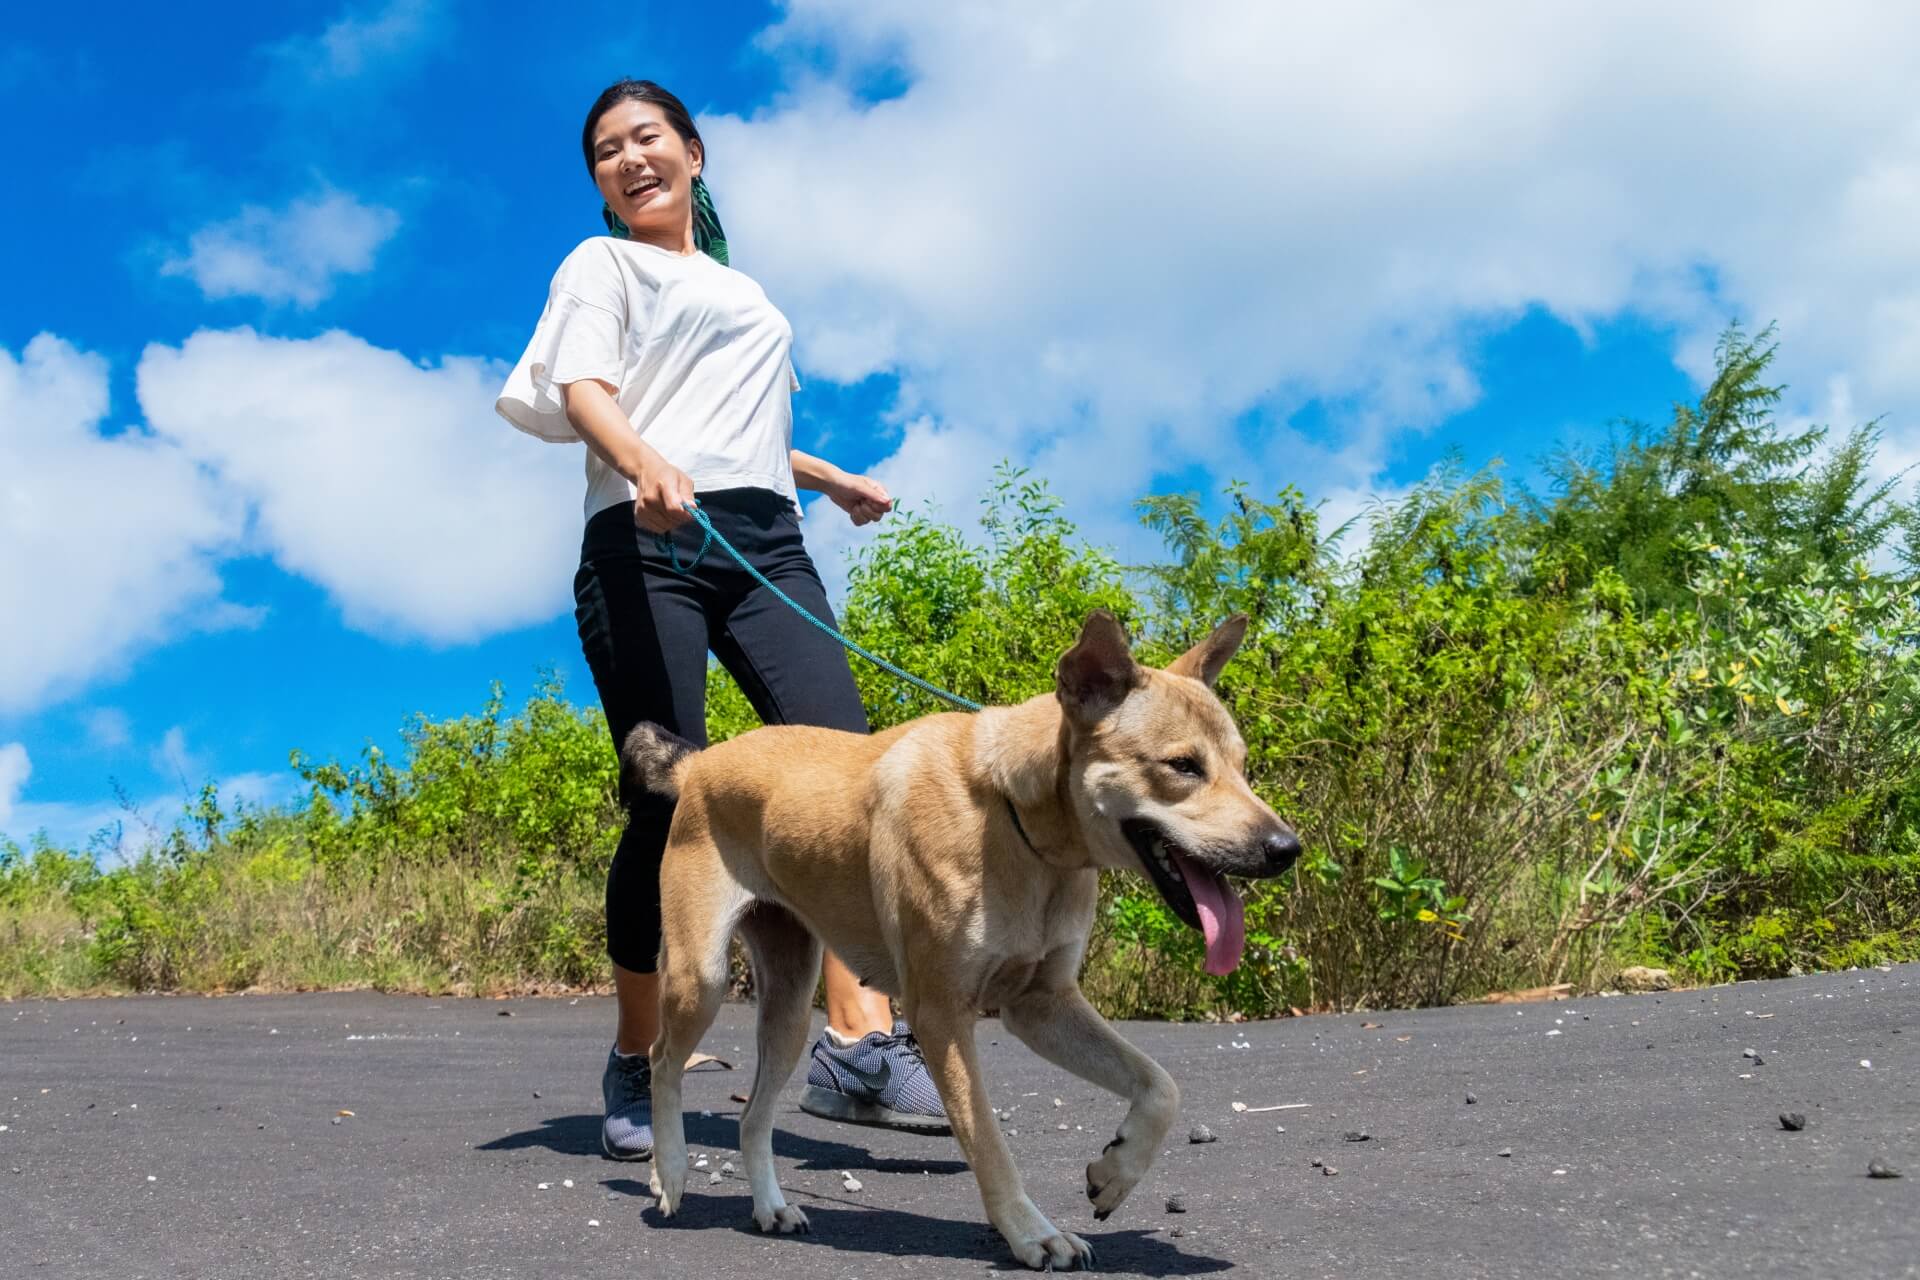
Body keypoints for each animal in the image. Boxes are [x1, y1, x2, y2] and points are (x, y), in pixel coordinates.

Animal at [629, 610, 1305, 1274]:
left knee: (753, 1115)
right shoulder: (941, 1014)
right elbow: (988, 1142)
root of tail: (699, 764)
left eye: (1241, 765)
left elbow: (1161, 1087)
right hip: (701, 977)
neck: (1017, 818)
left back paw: (770, 1206)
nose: (1287, 849)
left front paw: (1115, 1174)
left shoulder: (1042, 1005)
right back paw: (670, 1171)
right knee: (663, 1060)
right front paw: (1034, 1233)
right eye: (1183, 766)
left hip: (790, 1005)